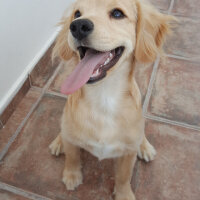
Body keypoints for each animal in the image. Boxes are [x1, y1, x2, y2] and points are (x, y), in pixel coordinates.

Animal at [48, 0, 175, 199]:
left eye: (117, 13)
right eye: (77, 14)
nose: (77, 26)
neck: (103, 98)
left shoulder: (128, 153)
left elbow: (124, 177)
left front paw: (124, 194)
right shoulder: (72, 141)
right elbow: (72, 157)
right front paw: (71, 175)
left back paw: (145, 147)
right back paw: (58, 141)